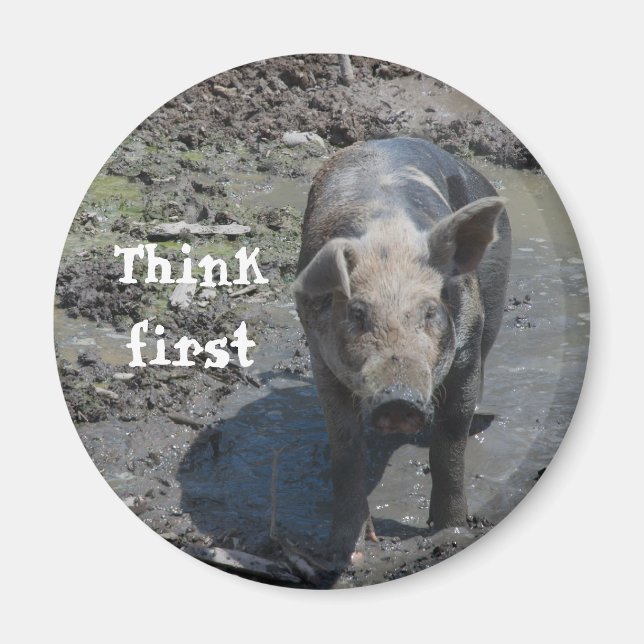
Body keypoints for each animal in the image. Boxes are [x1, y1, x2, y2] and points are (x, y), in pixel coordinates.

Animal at [293, 137, 511, 563]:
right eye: (358, 313)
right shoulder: (320, 359)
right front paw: (348, 550)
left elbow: (450, 442)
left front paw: (451, 531)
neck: (388, 235)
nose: (398, 400)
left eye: (430, 311)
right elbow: (345, 448)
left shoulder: (466, 349)